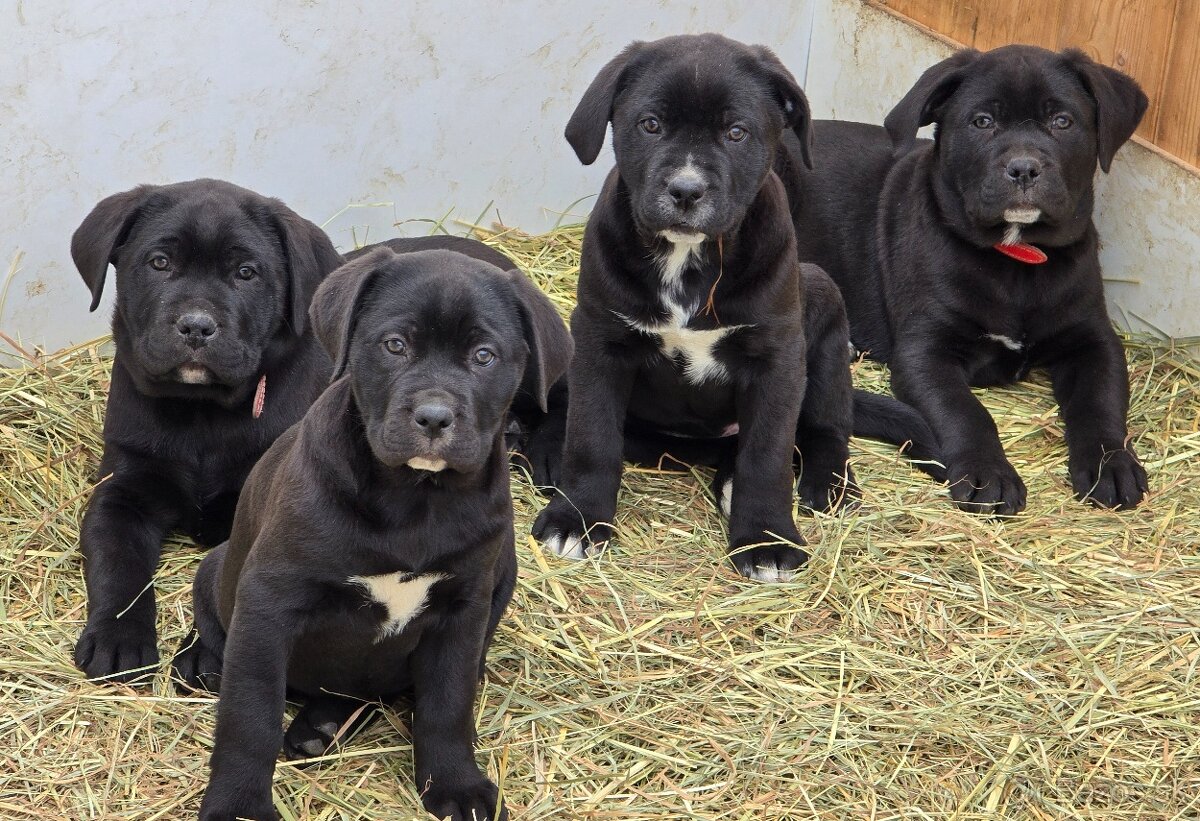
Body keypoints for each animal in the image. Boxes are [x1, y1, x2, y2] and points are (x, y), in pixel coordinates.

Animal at [69, 177, 343, 681]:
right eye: (160, 262)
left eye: (246, 273)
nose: (196, 326)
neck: (202, 415)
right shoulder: (122, 492)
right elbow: (117, 565)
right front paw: (119, 639)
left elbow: (232, 578)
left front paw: (207, 653)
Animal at [170, 244, 576, 820]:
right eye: (395, 345)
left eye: (484, 357)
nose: (434, 417)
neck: (414, 499)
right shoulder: (269, 599)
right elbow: (250, 711)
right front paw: (240, 805)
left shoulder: (463, 609)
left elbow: (447, 704)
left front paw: (454, 784)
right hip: (218, 567)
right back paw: (205, 662)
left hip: (505, 573)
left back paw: (322, 723)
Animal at [530, 33, 940, 583]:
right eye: (650, 124)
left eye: (736, 133)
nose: (685, 191)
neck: (687, 259)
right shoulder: (600, 340)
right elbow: (591, 436)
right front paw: (577, 518)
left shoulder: (775, 358)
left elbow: (767, 455)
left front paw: (766, 538)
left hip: (823, 304)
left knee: (825, 429)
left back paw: (825, 484)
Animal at [787, 45, 1152, 513]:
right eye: (982, 122)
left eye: (1061, 121)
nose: (1023, 169)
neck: (1017, 258)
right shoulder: (925, 351)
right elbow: (964, 411)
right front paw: (987, 474)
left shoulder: (1093, 340)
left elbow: (1101, 400)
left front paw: (1112, 465)